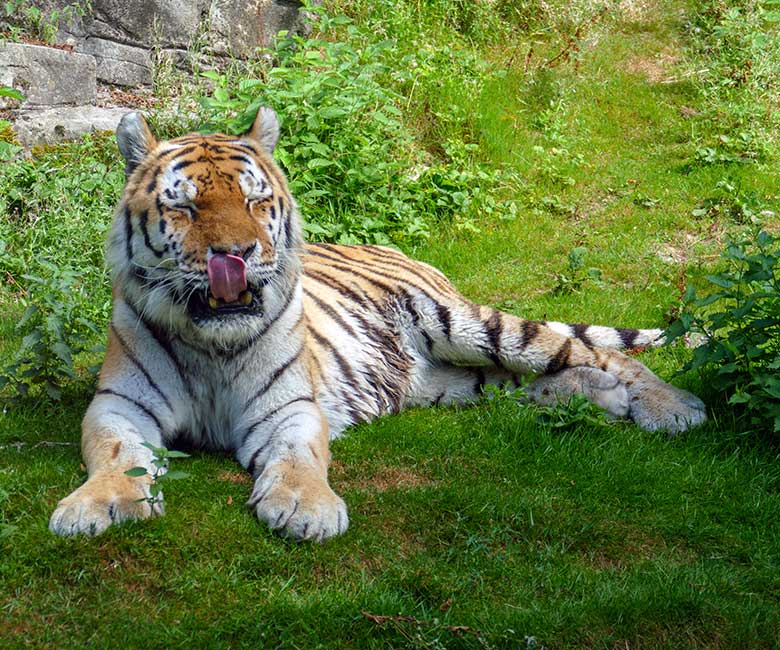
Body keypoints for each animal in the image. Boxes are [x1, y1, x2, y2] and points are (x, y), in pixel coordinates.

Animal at [47, 109, 708, 540]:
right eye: (184, 206)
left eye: (256, 201)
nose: (235, 254)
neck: (212, 342)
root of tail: (397, 251)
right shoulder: (119, 405)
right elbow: (115, 453)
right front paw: (96, 506)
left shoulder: (289, 406)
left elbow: (298, 456)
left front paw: (305, 508)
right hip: (450, 380)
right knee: (536, 379)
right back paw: (600, 399)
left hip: (465, 324)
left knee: (589, 350)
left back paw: (670, 406)